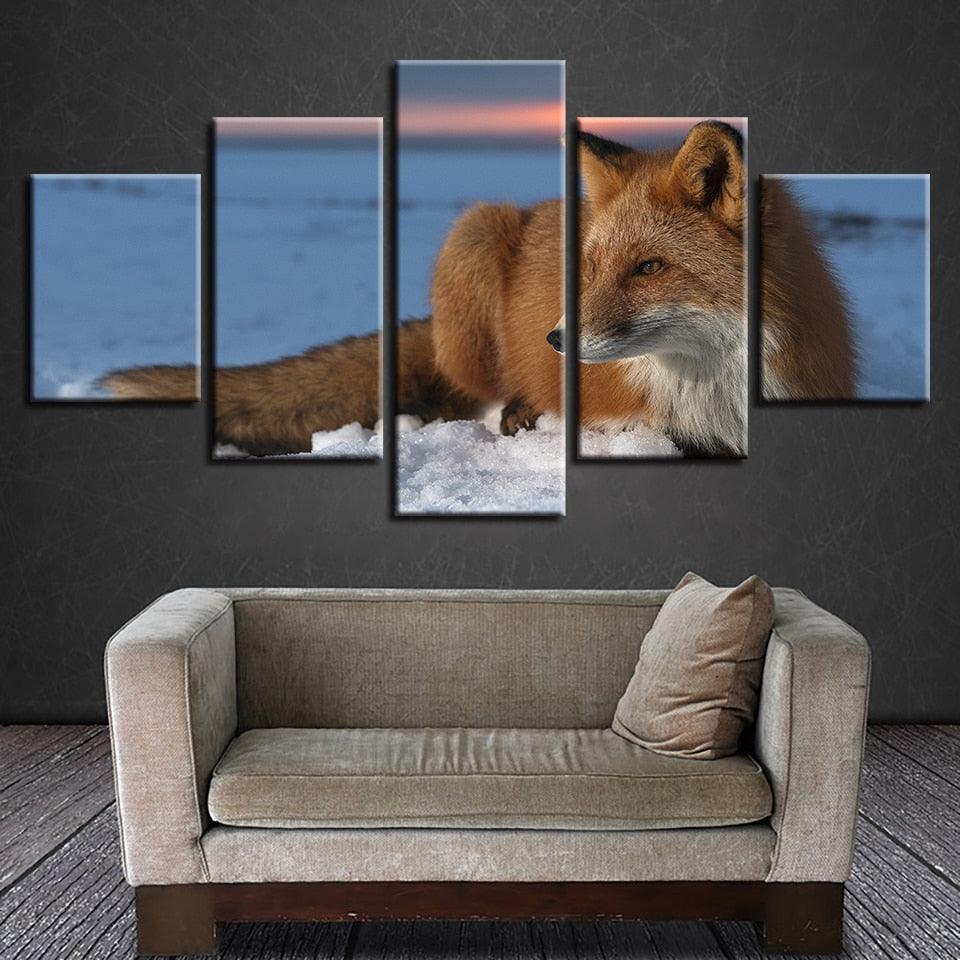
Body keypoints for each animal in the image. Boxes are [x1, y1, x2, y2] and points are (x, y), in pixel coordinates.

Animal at [104, 120, 855, 454]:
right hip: (473, 234)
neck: (719, 385)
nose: (555, 339)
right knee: (469, 396)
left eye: (649, 268)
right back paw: (515, 408)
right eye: (587, 268)